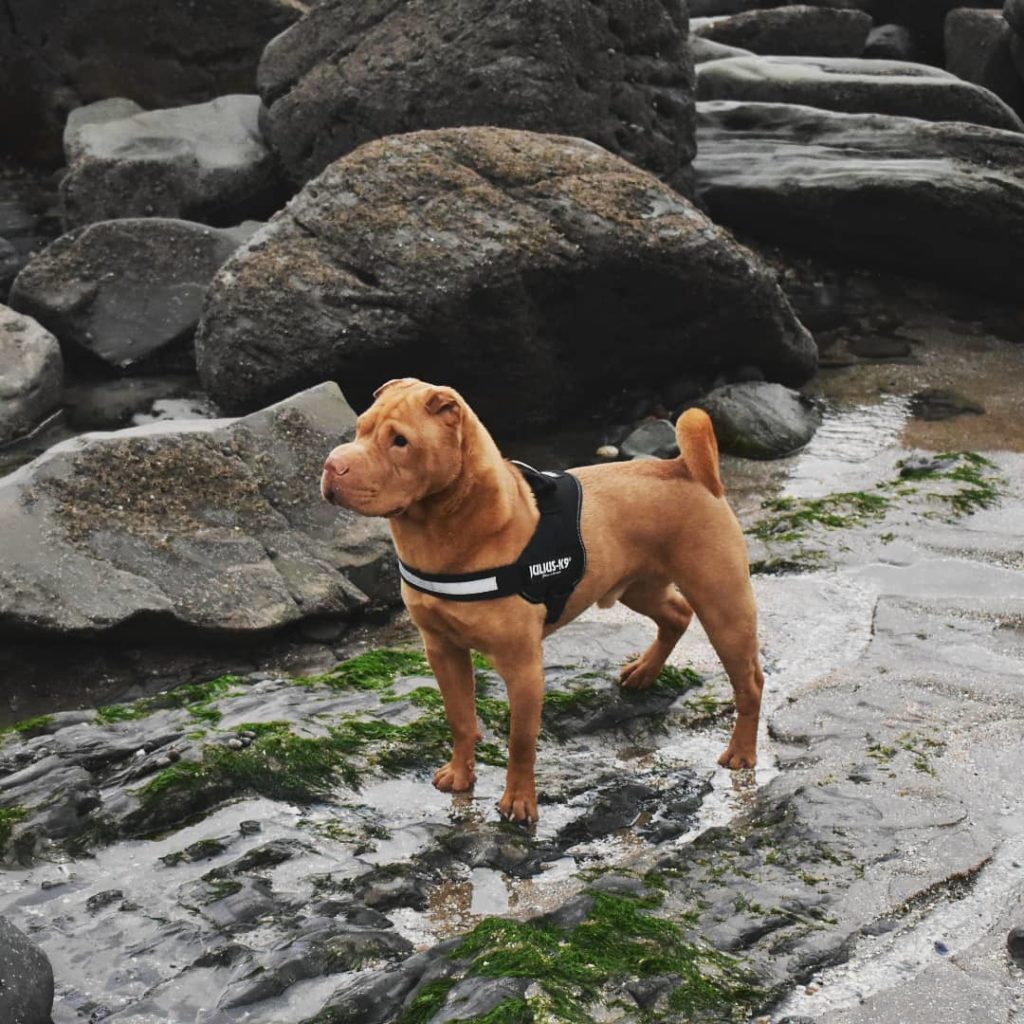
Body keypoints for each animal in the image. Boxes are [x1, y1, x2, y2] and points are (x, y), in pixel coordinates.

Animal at [323, 378, 765, 823]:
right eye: (360, 428)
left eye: (400, 441)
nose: (331, 466)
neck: (442, 531)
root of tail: (684, 468)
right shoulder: (443, 649)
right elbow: (460, 718)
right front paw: (460, 775)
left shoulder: (522, 666)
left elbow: (521, 740)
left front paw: (519, 801)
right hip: (637, 585)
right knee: (676, 614)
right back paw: (644, 672)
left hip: (723, 604)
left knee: (749, 682)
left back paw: (741, 752)